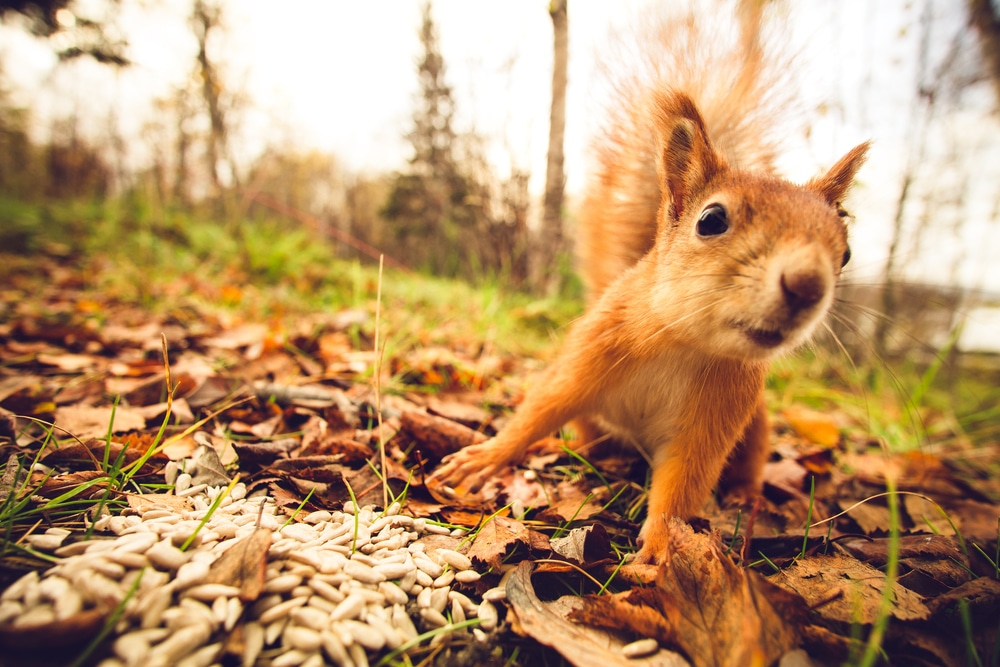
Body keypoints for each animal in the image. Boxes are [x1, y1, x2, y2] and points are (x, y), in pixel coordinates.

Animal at [428, 1, 868, 564]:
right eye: (711, 220)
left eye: (846, 252)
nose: (807, 285)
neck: (682, 343)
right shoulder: (592, 351)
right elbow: (540, 408)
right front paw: (484, 457)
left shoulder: (718, 413)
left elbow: (683, 483)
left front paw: (663, 549)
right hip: (596, 418)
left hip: (756, 424)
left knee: (749, 460)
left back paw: (745, 494)